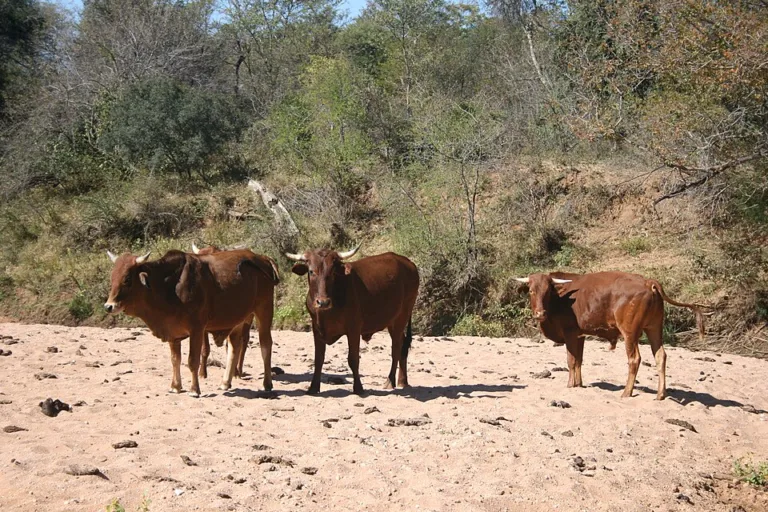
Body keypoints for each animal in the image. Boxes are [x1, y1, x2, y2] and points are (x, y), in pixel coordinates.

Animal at [104, 248, 279, 397]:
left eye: (127, 279)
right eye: (112, 277)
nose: (108, 306)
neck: (170, 286)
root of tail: (262, 258)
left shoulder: (197, 329)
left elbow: (192, 360)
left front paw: (194, 389)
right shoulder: (173, 332)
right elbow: (175, 360)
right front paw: (175, 386)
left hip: (264, 309)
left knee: (265, 345)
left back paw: (267, 383)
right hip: (238, 318)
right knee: (234, 347)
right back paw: (225, 382)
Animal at [285, 245, 419, 395]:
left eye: (332, 272)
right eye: (311, 271)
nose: (323, 302)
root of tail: (408, 263)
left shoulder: (354, 328)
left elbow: (353, 359)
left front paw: (358, 387)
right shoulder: (317, 329)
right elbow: (318, 359)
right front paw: (313, 387)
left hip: (401, 317)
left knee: (396, 348)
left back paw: (390, 381)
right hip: (392, 321)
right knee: (402, 345)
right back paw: (402, 380)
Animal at [515, 271, 710, 400]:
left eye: (547, 291)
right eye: (531, 290)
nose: (540, 313)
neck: (560, 299)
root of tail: (648, 282)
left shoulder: (570, 333)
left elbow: (571, 361)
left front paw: (570, 385)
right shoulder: (580, 335)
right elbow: (579, 361)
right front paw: (579, 384)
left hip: (629, 333)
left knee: (635, 359)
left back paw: (626, 392)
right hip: (654, 328)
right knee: (660, 356)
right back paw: (661, 394)